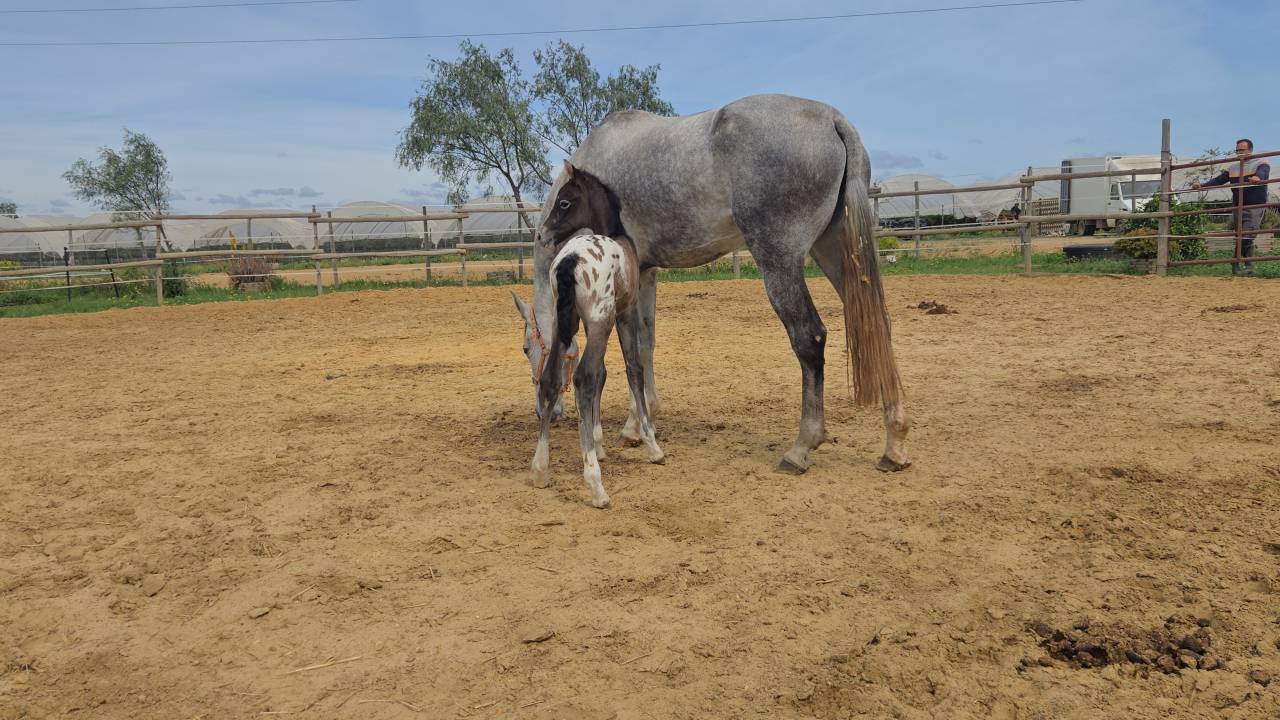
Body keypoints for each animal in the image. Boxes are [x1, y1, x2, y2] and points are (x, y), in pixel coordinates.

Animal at [520, 162, 664, 507]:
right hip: (601, 321)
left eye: (564, 202)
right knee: (582, 378)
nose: (543, 234)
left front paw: (598, 444)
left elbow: (602, 374)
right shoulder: (623, 315)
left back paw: (540, 468)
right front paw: (650, 443)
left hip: (563, 326)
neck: (620, 239)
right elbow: (632, 369)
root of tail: (570, 259)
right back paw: (596, 484)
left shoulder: (586, 325)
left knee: (552, 380)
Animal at [522, 93, 911, 474]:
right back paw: (894, 444)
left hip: (780, 263)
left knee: (809, 338)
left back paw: (801, 448)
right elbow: (646, 345)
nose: (546, 412)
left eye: (527, 349)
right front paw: (641, 422)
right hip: (835, 252)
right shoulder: (645, 273)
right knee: (879, 325)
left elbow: (624, 357)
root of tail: (833, 119)